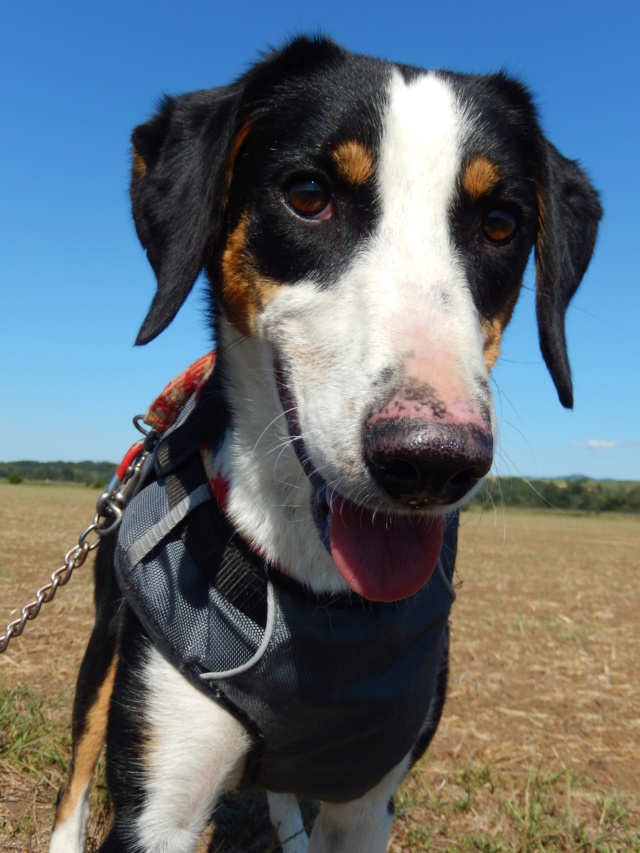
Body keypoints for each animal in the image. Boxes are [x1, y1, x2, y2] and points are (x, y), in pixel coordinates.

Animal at [48, 36, 600, 852]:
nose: (431, 456)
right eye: (309, 194)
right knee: (78, 769)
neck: (317, 598)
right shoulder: (159, 810)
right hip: (106, 638)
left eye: (501, 223)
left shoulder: (368, 798)